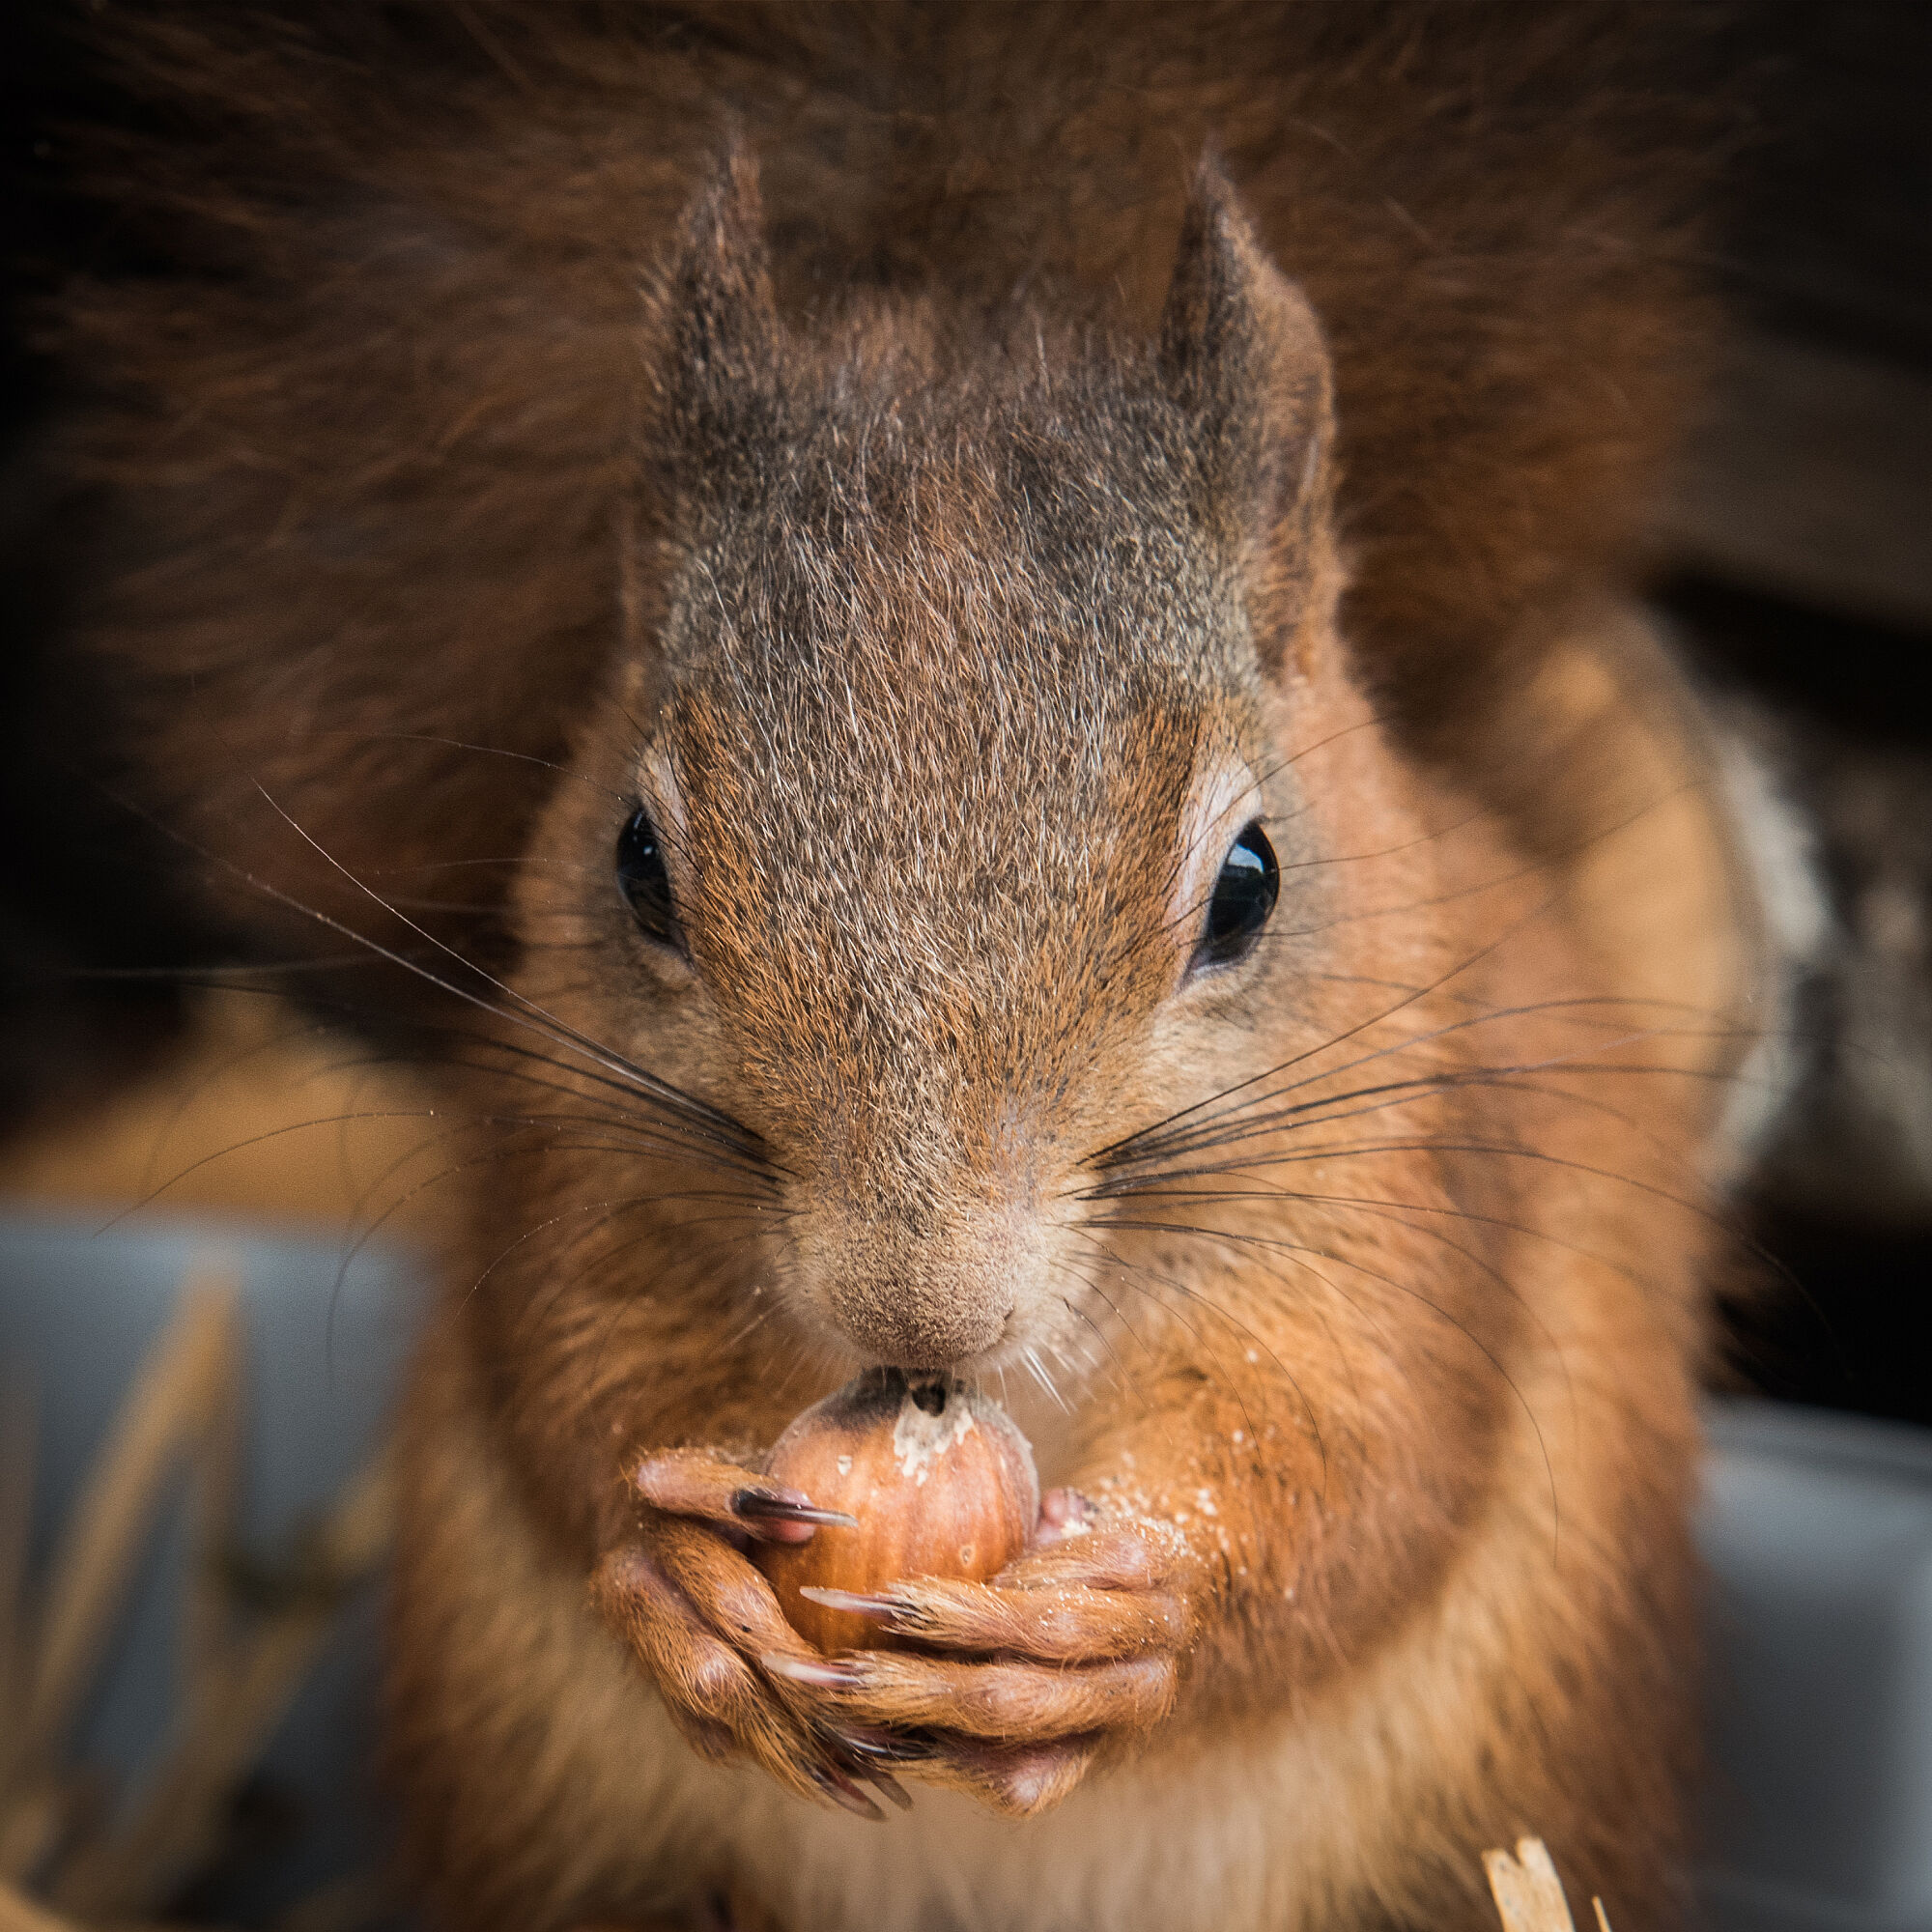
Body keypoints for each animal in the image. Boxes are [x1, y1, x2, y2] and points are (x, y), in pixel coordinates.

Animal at [30, 3, 1777, 1932]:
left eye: (1250, 887)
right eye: (636, 865)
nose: (920, 1318)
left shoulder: (1408, 1205)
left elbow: (1362, 1461)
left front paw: (1132, 1608)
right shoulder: (577, 1165)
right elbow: (566, 1370)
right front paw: (675, 1575)